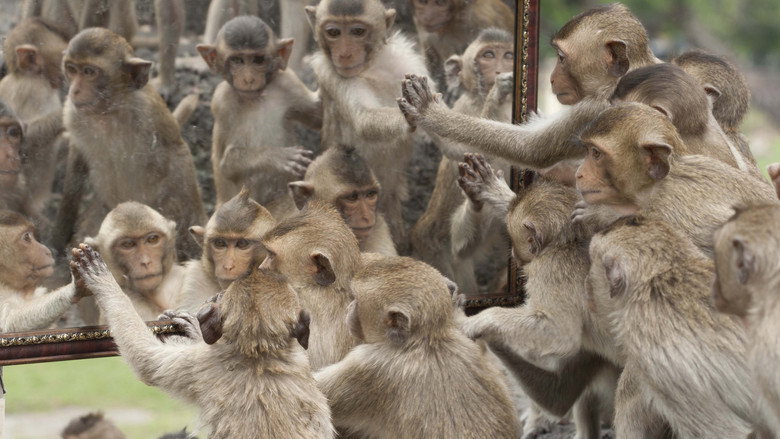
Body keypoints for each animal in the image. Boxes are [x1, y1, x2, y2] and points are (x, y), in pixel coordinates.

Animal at [53, 27, 207, 261]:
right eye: (72, 69)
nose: (74, 90)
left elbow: (176, 155)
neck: (107, 111)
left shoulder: (148, 114)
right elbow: (76, 162)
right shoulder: (73, 113)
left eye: (89, 72)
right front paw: (58, 236)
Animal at [71, 244, 335, 439]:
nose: (213, 297)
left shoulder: (200, 364)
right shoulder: (299, 359)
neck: (259, 350)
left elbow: (143, 358)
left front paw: (103, 282)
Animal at [197, 16, 320, 217]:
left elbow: (317, 115)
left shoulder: (288, 81)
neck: (257, 96)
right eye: (237, 60)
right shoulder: (222, 102)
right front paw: (277, 157)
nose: (248, 79)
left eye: (258, 60)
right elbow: (227, 165)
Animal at [307, 0, 431, 250]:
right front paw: (413, 114)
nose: (345, 53)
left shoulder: (408, 61)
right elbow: (364, 119)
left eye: (357, 31)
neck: (371, 66)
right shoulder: (330, 73)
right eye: (333, 32)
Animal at [574, 102, 777, 258]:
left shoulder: (673, 212)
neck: (657, 186)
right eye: (588, 150)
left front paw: (601, 214)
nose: (579, 173)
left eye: (596, 153)